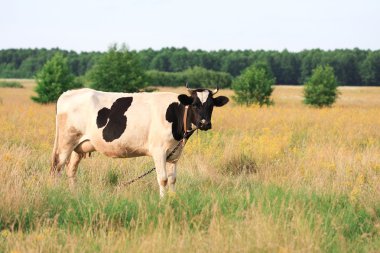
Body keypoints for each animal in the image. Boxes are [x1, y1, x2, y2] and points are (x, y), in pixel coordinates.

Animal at [50, 86, 229, 197]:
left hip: (79, 146)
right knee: (57, 168)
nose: (205, 123)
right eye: (195, 104)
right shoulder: (159, 151)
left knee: (71, 170)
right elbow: (163, 179)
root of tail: (68, 93)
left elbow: (172, 179)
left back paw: (74, 194)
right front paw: (163, 201)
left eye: (211, 105)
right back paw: (56, 192)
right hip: (66, 142)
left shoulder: (175, 154)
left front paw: (173, 198)